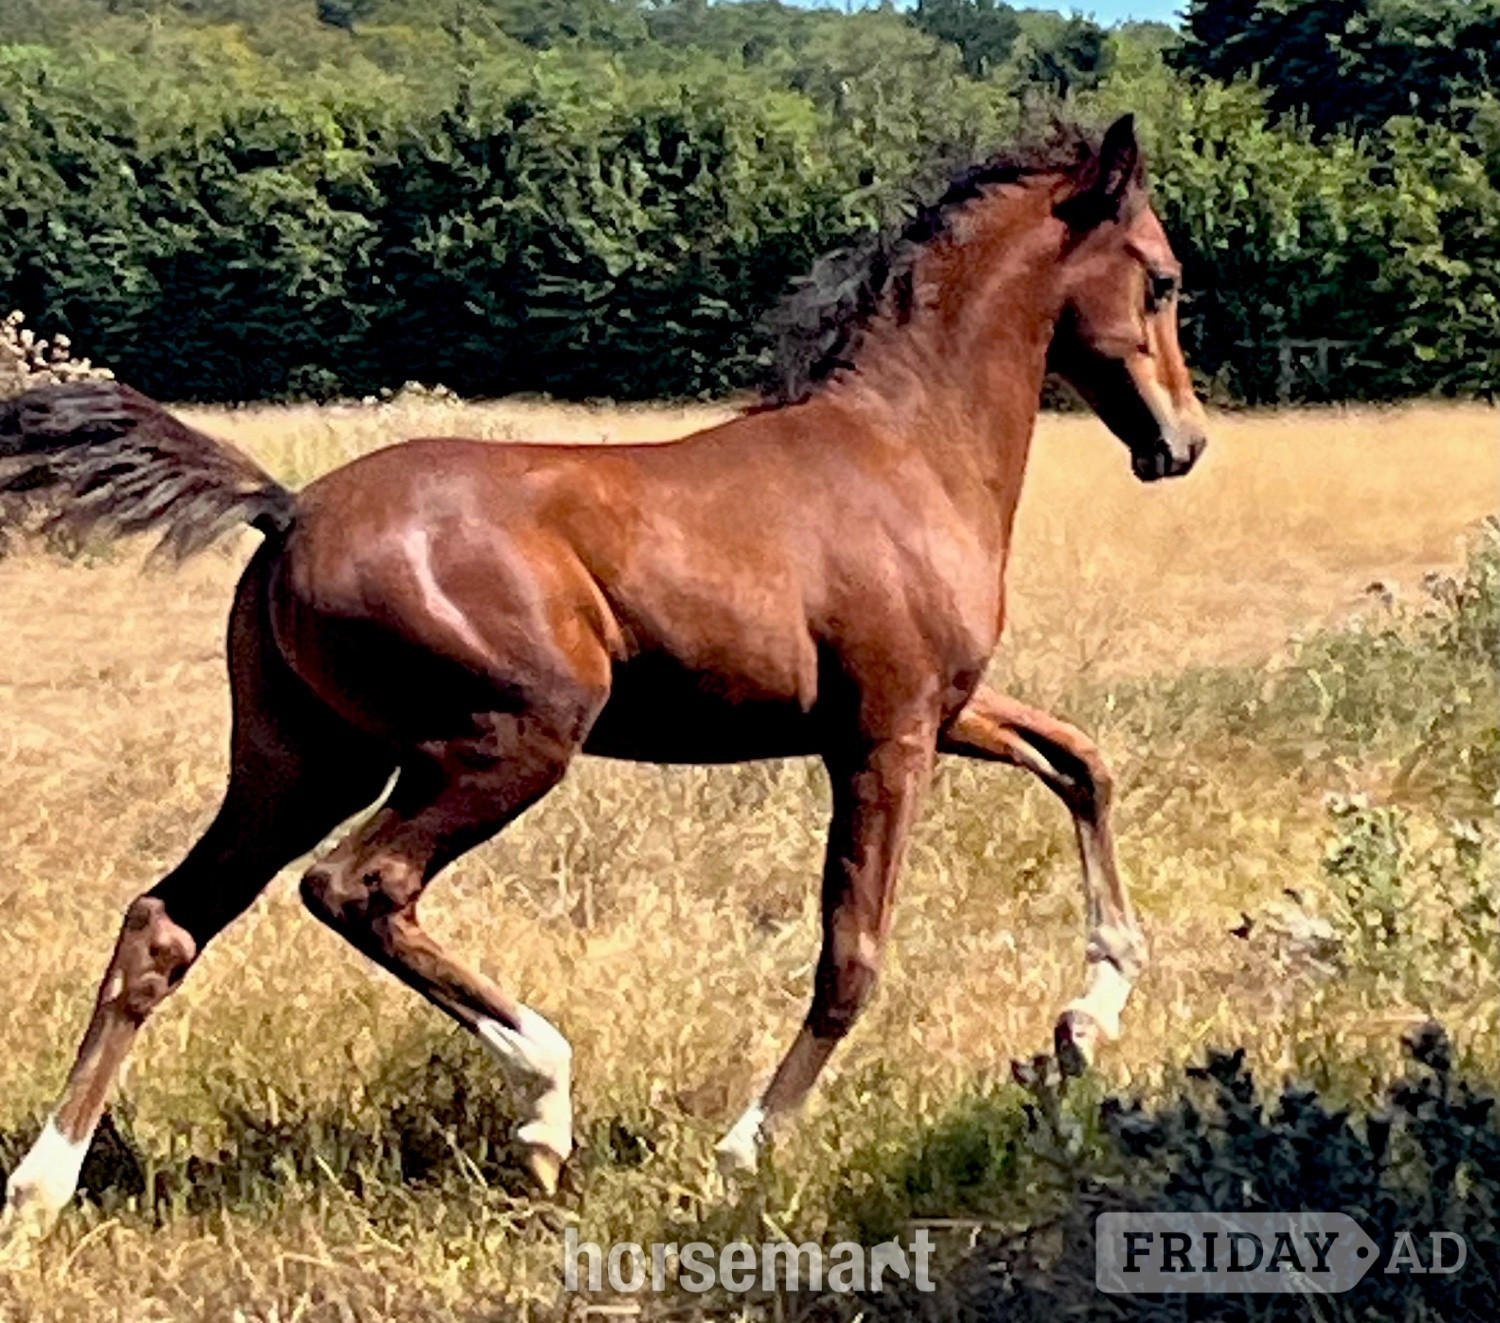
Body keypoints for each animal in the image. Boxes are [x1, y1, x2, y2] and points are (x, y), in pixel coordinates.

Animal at [0, 113, 1206, 1251]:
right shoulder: (886, 733)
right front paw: (745, 1149)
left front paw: (1090, 1014)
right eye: (1160, 277)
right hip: (510, 738)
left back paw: (40, 1190)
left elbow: (1082, 763)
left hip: (302, 762)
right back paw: (544, 1102)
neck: (905, 450)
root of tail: (288, 509)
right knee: (357, 887)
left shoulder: (946, 708)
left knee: (165, 923)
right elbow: (851, 956)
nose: (1183, 445)